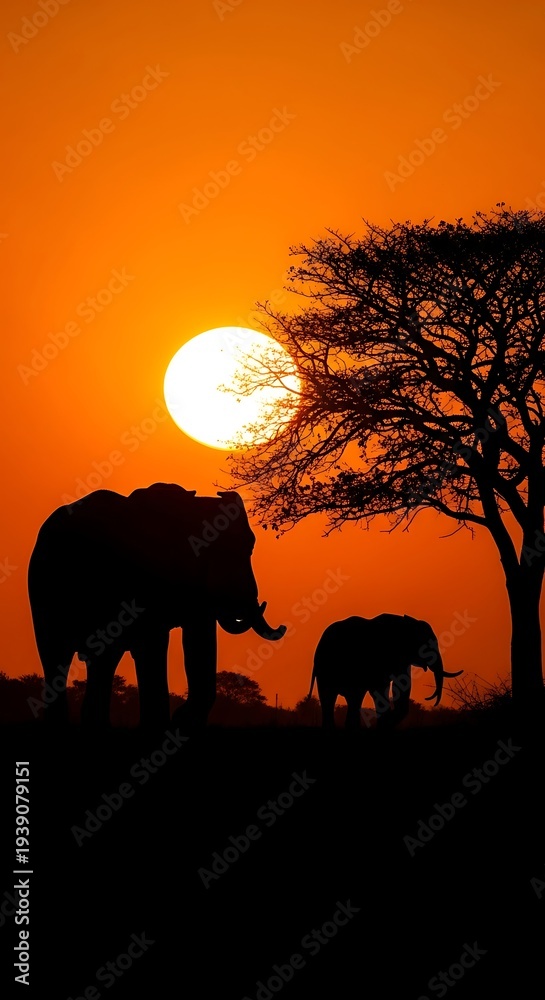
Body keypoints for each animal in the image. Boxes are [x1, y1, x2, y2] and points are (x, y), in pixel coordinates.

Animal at [28, 482, 286, 729]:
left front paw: (179, 722)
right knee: (64, 653)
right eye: (246, 548)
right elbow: (154, 643)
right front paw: (169, 723)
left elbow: (196, 637)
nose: (282, 626)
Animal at [308, 614, 462, 729]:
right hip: (326, 670)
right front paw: (386, 722)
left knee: (349, 699)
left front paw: (387, 722)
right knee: (335, 697)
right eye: (428, 645)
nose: (429, 699)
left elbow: (401, 685)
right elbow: (380, 689)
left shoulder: (401, 660)